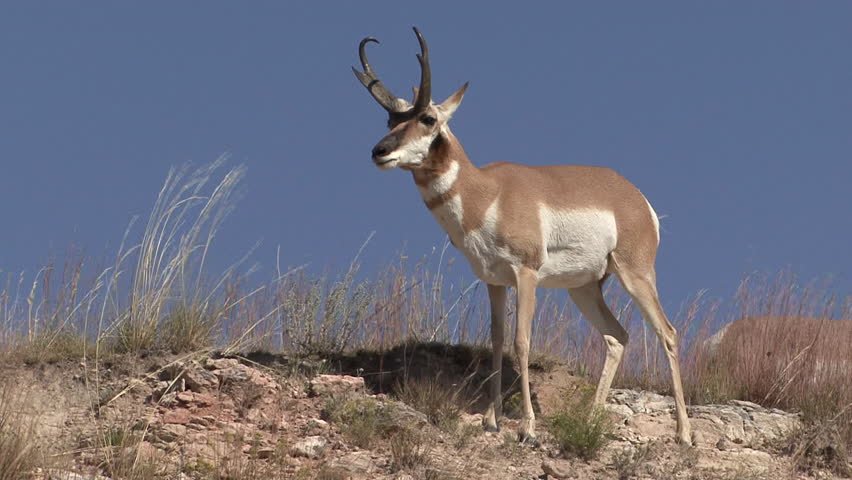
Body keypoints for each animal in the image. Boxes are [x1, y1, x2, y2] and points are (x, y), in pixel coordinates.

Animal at [352, 27, 692, 445]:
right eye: (390, 119)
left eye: (428, 118)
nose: (379, 151)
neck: (486, 192)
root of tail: (635, 196)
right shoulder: (494, 281)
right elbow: (497, 341)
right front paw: (491, 418)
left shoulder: (525, 275)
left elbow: (521, 340)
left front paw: (527, 426)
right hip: (584, 288)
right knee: (617, 337)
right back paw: (591, 419)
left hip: (635, 274)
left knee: (667, 333)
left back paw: (684, 433)